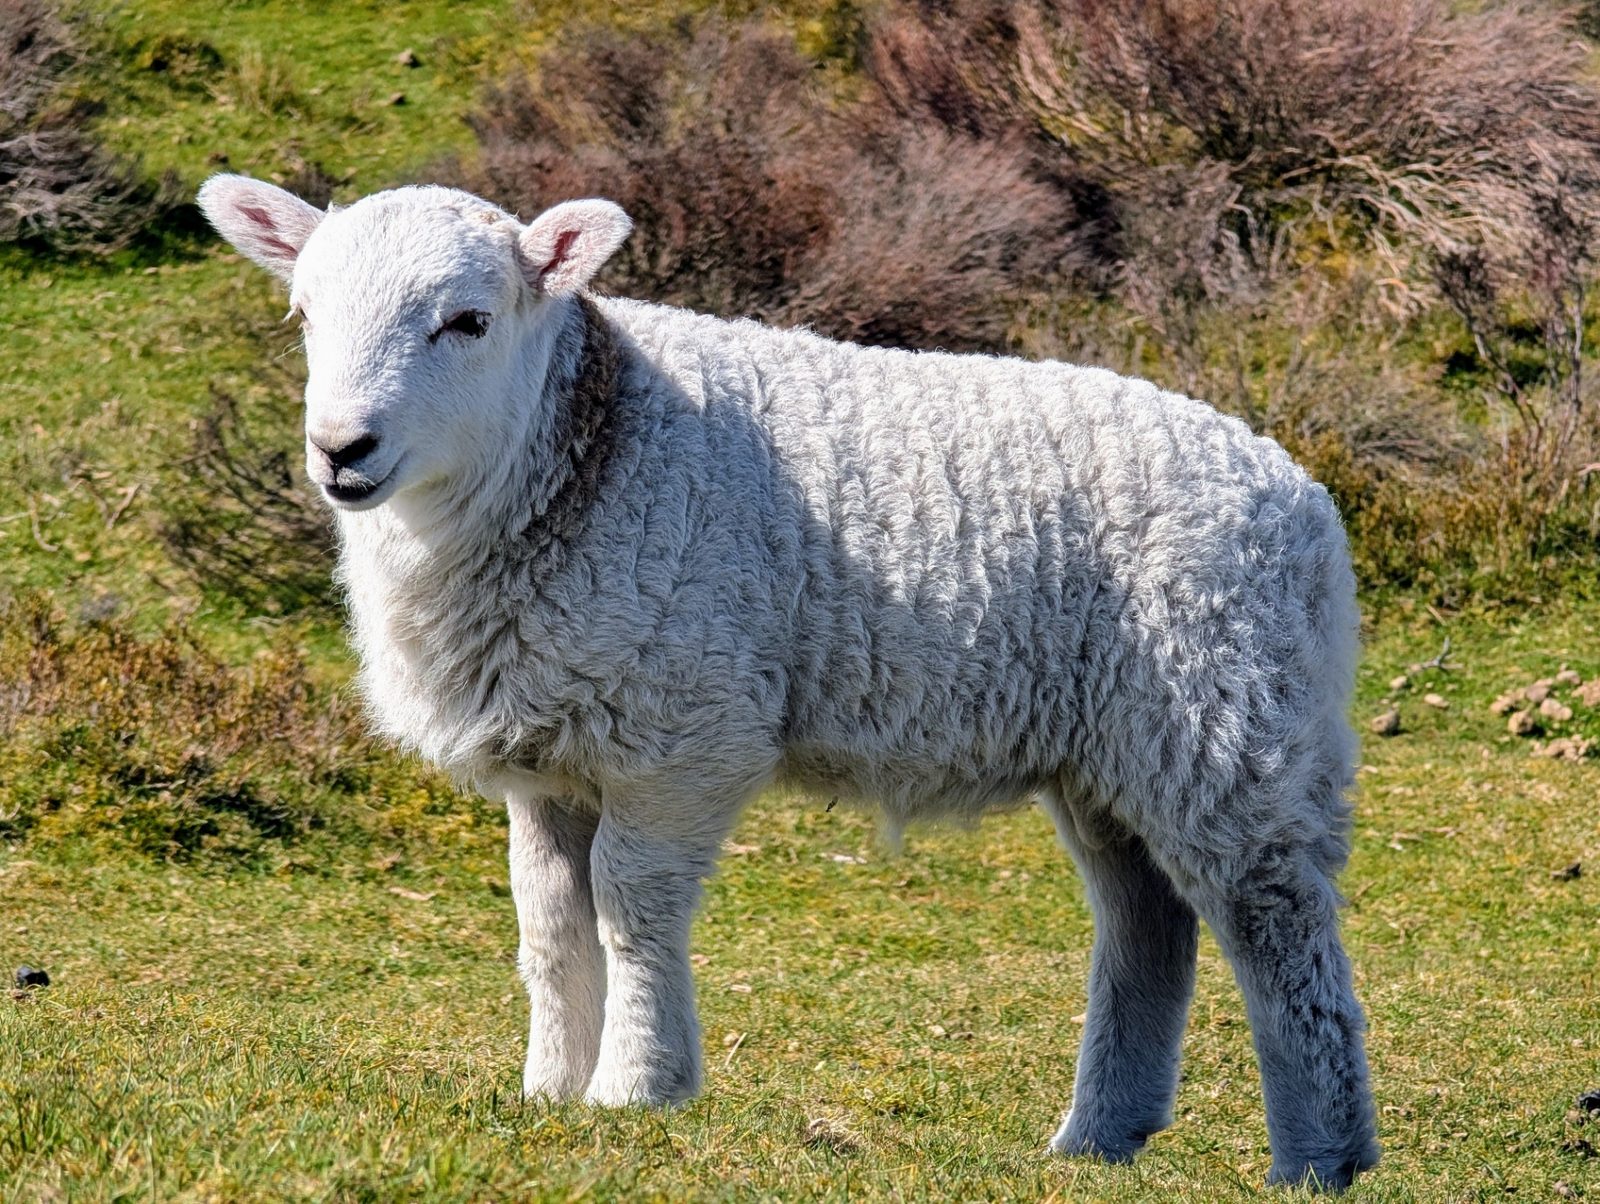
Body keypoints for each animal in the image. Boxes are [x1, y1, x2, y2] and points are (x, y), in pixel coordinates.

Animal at [197, 174, 1379, 1190]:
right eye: (303, 317)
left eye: (469, 322)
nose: (341, 449)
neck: (587, 449)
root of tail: (1301, 494)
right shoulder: (551, 753)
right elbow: (549, 923)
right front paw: (549, 1090)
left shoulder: (683, 731)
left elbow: (630, 906)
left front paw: (637, 1087)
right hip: (1117, 751)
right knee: (1148, 927)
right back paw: (1099, 1137)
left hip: (1229, 714)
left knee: (1278, 932)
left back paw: (1320, 1156)